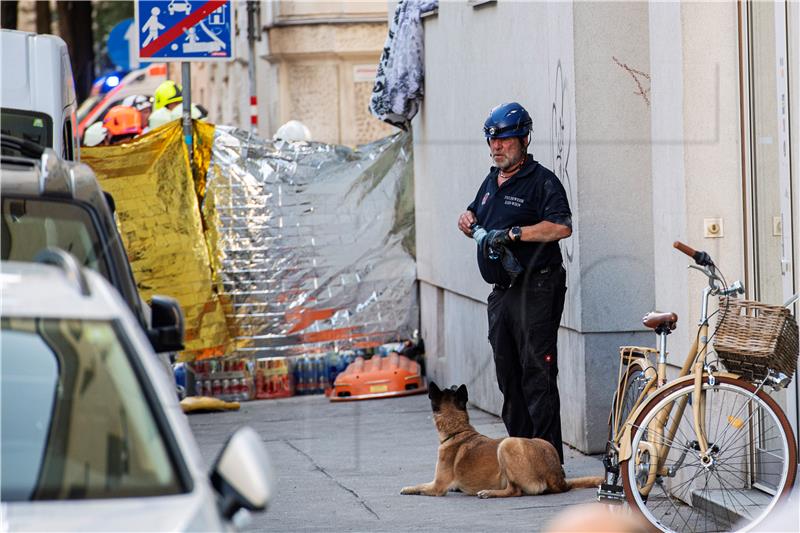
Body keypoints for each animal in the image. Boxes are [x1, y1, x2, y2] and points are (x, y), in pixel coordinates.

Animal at [404, 384, 604, 496]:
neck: (458, 430)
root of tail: (557, 479)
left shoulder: (437, 486)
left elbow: (421, 486)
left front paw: (407, 488)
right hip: (543, 441)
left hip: (506, 444)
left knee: (515, 491)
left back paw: (488, 493)